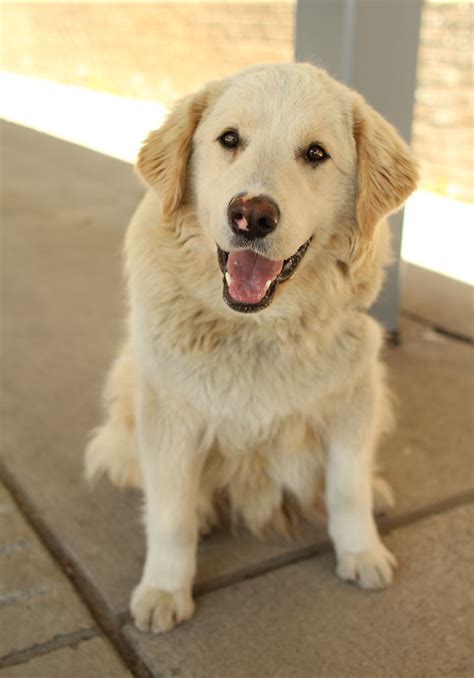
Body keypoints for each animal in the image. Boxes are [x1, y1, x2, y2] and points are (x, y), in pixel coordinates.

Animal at [85, 61, 418, 636]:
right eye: (229, 140)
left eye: (315, 153)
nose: (252, 216)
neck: (258, 328)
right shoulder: (170, 416)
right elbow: (169, 516)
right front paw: (165, 588)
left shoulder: (353, 400)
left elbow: (345, 487)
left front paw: (360, 551)